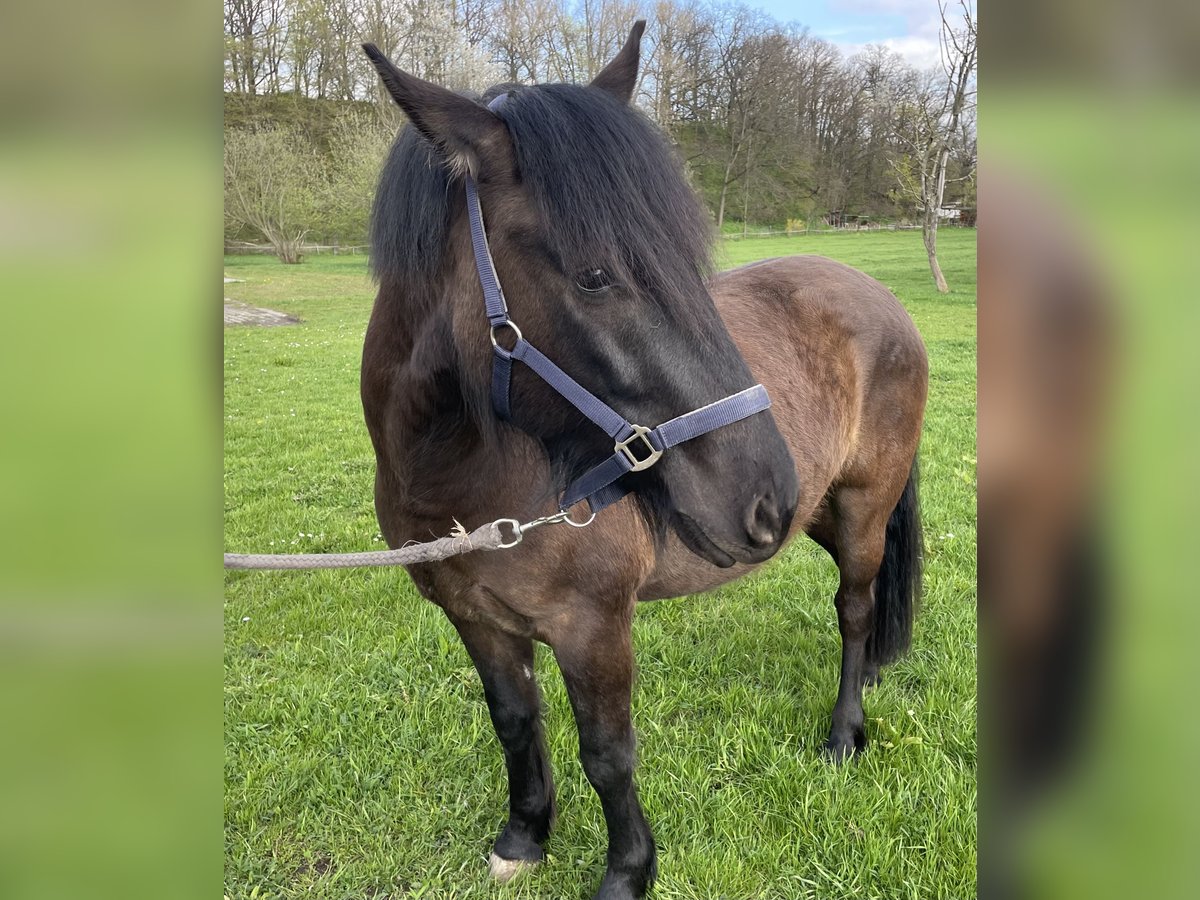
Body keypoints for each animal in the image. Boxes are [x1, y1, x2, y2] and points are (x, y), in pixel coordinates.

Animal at [360, 22, 927, 900]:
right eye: (596, 277)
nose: (763, 494)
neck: (464, 483)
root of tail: (876, 295)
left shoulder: (593, 626)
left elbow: (608, 754)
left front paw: (628, 871)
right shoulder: (474, 618)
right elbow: (514, 722)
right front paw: (524, 835)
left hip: (864, 505)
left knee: (856, 608)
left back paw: (843, 734)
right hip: (823, 513)